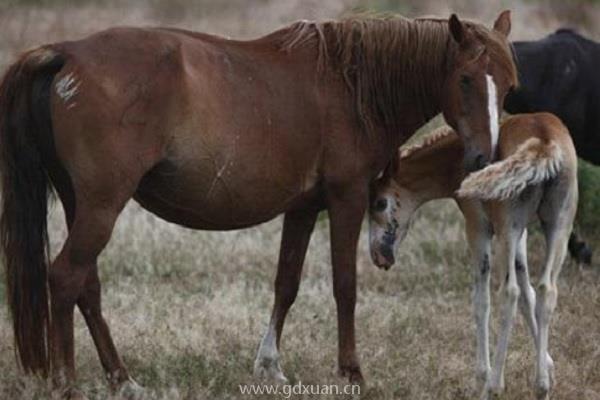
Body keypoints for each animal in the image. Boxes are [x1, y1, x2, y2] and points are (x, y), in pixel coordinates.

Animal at [0, 10, 516, 398]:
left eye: (509, 86)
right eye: (465, 79)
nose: (482, 158)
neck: (351, 85)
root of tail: (66, 52)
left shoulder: (303, 208)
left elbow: (285, 284)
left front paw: (270, 365)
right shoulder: (346, 198)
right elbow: (345, 286)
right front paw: (351, 371)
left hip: (81, 205)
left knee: (87, 287)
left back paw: (122, 379)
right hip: (102, 206)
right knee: (66, 277)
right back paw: (67, 383)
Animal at [368, 113, 580, 400]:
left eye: (380, 203)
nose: (378, 256)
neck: (457, 157)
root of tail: (544, 142)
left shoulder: (478, 227)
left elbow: (482, 301)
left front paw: (483, 375)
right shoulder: (521, 234)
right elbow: (529, 295)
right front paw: (548, 366)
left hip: (508, 226)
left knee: (509, 292)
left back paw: (495, 385)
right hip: (557, 225)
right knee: (546, 290)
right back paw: (541, 387)